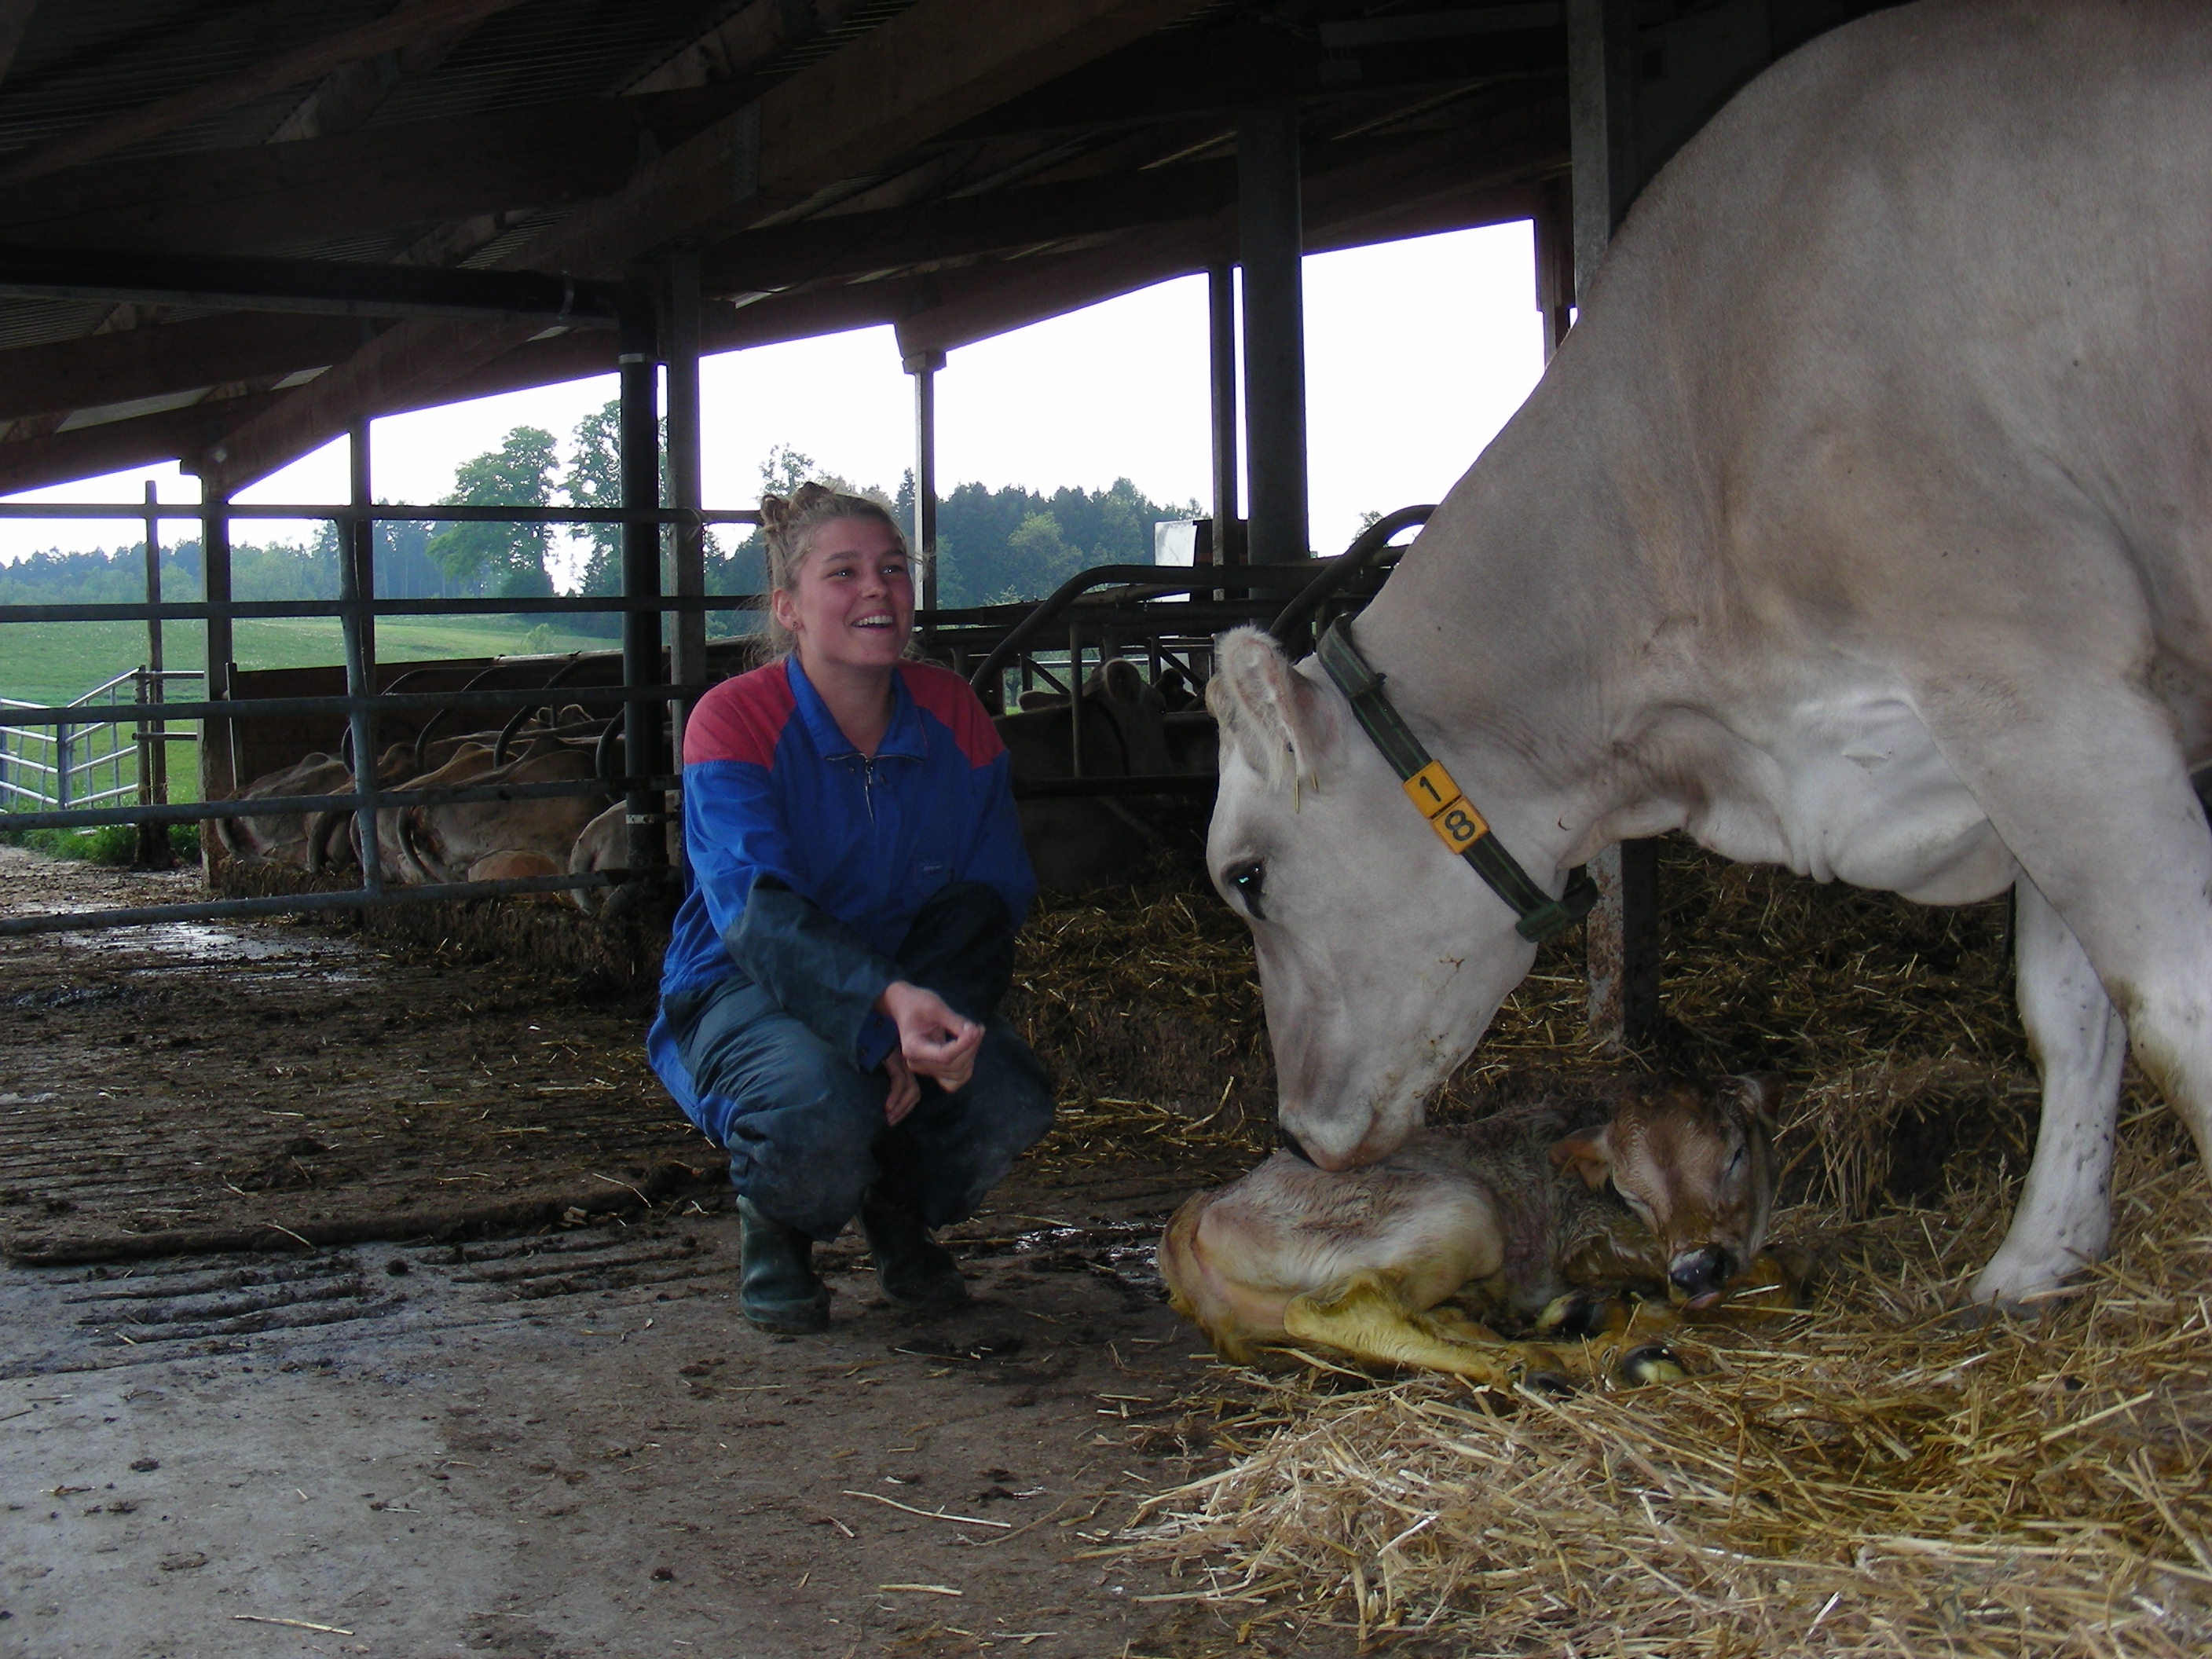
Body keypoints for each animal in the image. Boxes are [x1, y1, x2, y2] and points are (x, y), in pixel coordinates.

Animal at [1159, 1079, 1796, 1389]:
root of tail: (1204, 1206)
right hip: (1462, 1213)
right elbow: (1774, 1276)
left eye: (1735, 1157)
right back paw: (1552, 1361)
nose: (1695, 1269)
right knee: (1335, 1308)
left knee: (1433, 1320)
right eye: (1631, 1192)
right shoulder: (1592, 1242)